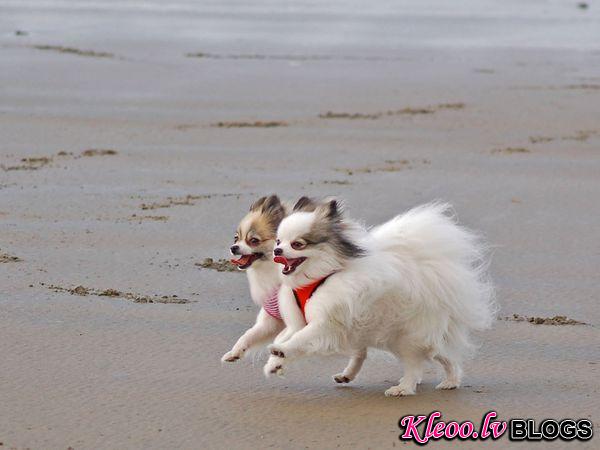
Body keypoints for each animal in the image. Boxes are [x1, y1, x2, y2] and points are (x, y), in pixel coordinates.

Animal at [264, 199, 494, 396]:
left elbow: (299, 339)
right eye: (278, 241)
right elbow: (287, 336)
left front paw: (281, 351)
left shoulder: (326, 322)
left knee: (416, 363)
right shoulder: (300, 322)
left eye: (297, 244)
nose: (277, 250)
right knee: (438, 355)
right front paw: (274, 363)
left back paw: (406, 388)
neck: (319, 277)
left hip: (407, 336)